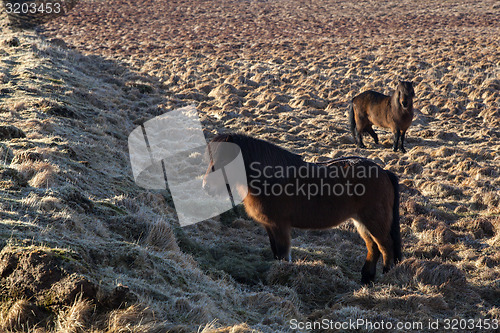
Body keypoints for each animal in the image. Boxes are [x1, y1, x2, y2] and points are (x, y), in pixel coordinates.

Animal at [201, 133, 400, 282]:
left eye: (224, 160)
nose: (206, 187)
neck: (270, 179)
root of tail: (384, 171)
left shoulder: (280, 225)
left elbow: (282, 253)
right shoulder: (269, 226)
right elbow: (275, 252)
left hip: (374, 220)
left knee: (385, 246)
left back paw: (387, 278)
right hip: (361, 221)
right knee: (373, 247)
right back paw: (367, 278)